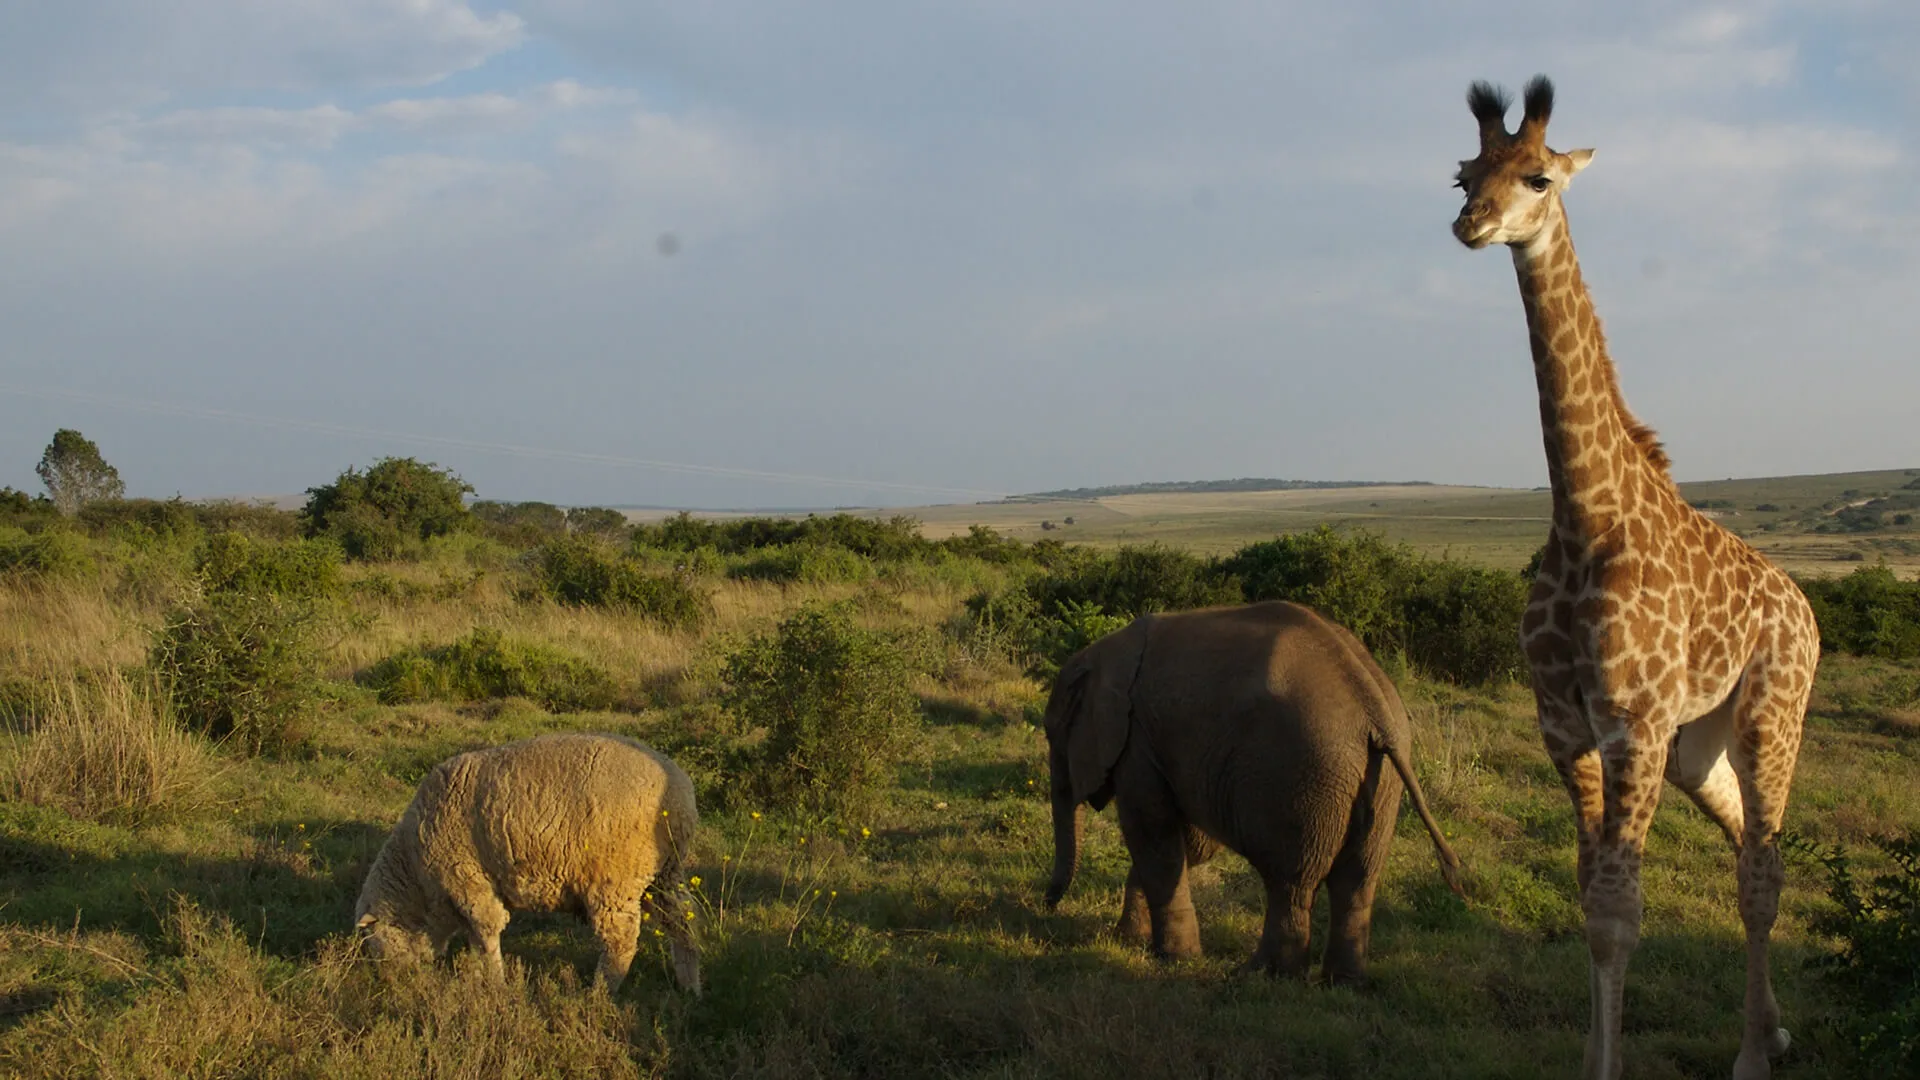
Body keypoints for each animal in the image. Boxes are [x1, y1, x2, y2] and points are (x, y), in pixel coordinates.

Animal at [353, 731, 701, 993]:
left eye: (373, 942)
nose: (390, 983)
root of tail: (680, 793)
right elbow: (476, 939)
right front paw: (478, 976)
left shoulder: (466, 881)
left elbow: (487, 932)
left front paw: (495, 983)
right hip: (665, 873)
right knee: (683, 918)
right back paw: (689, 984)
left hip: (616, 880)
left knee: (621, 940)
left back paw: (599, 993)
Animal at [1043, 600, 1464, 985]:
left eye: (1054, 738)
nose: (1047, 908)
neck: (1104, 654)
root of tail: (1373, 706)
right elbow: (1189, 843)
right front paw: (1131, 941)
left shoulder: (1136, 744)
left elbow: (1153, 836)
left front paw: (1173, 958)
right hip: (1379, 782)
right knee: (1357, 881)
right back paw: (1343, 984)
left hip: (1300, 777)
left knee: (1290, 881)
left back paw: (1259, 975)